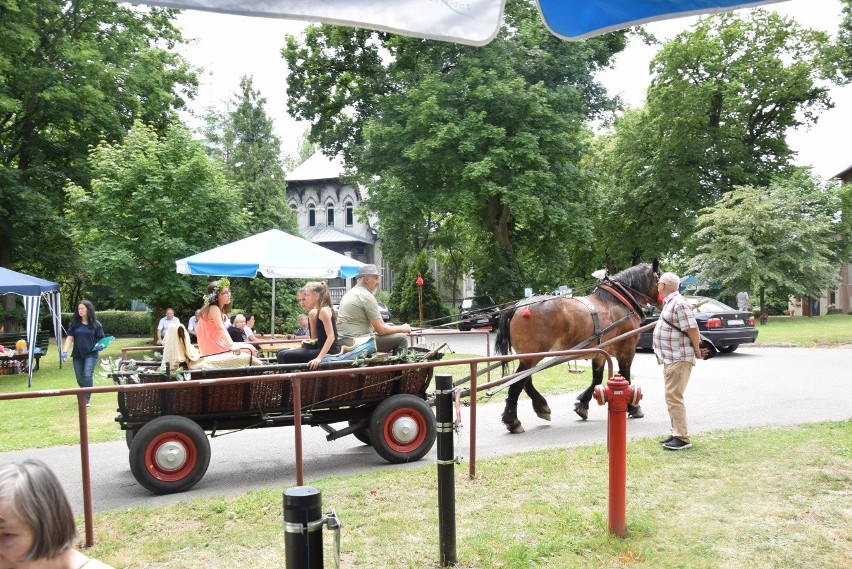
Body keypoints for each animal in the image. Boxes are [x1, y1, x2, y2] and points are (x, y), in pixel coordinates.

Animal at [490, 260, 664, 432]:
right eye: (661, 277)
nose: (662, 303)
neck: (616, 302)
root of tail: (518, 306)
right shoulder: (626, 350)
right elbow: (626, 377)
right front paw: (633, 407)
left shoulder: (600, 353)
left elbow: (597, 379)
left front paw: (582, 405)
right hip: (532, 356)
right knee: (517, 383)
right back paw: (513, 420)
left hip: (528, 356)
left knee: (524, 381)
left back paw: (541, 406)